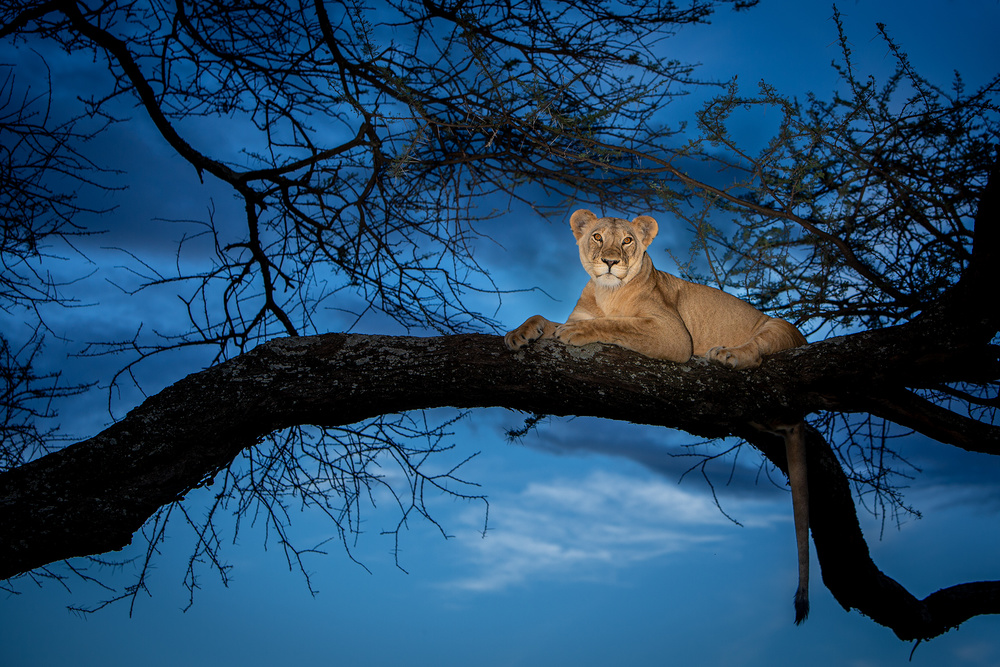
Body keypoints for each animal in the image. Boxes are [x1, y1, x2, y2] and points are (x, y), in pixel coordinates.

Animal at [504, 209, 811, 623]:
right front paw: (519, 333)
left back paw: (729, 354)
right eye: (597, 237)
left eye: (628, 241)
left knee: (759, 349)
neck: (608, 292)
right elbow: (545, 319)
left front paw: (581, 331)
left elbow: (616, 325)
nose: (611, 261)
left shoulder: (672, 334)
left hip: (778, 328)